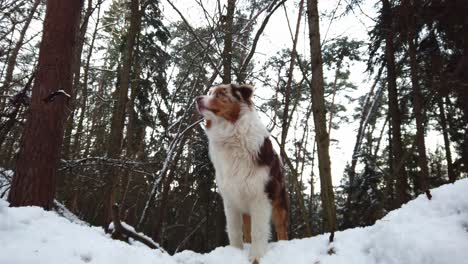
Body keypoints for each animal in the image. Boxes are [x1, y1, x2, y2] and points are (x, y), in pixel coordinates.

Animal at [195, 84, 288, 262]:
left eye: (221, 94)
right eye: (210, 92)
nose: (197, 98)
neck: (231, 134)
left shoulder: (260, 196)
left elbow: (258, 231)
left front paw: (256, 257)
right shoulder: (230, 198)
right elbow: (235, 230)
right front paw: (235, 252)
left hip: (279, 200)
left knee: (282, 227)